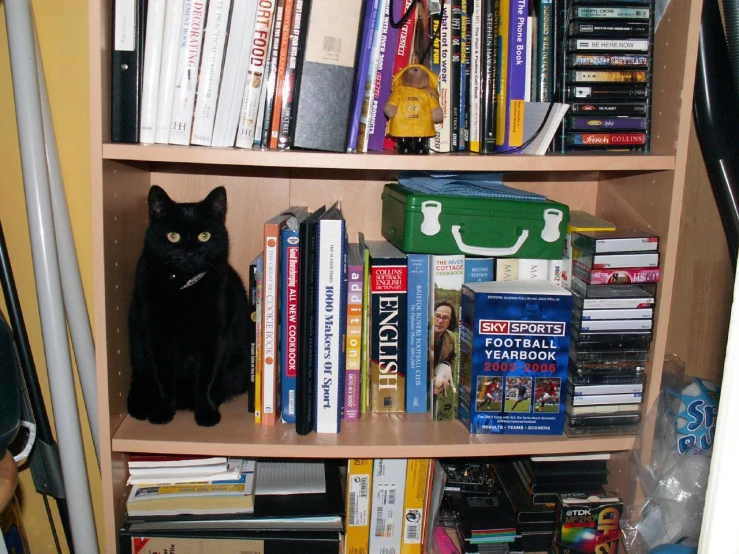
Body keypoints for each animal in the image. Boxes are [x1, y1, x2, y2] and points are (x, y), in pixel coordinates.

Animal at [128, 185, 251, 426]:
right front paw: (163, 411)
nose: (190, 253)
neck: (183, 287)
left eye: (204, 236)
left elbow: (206, 378)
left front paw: (206, 412)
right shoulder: (155, 337)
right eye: (173, 236)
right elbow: (163, 377)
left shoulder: (216, 337)